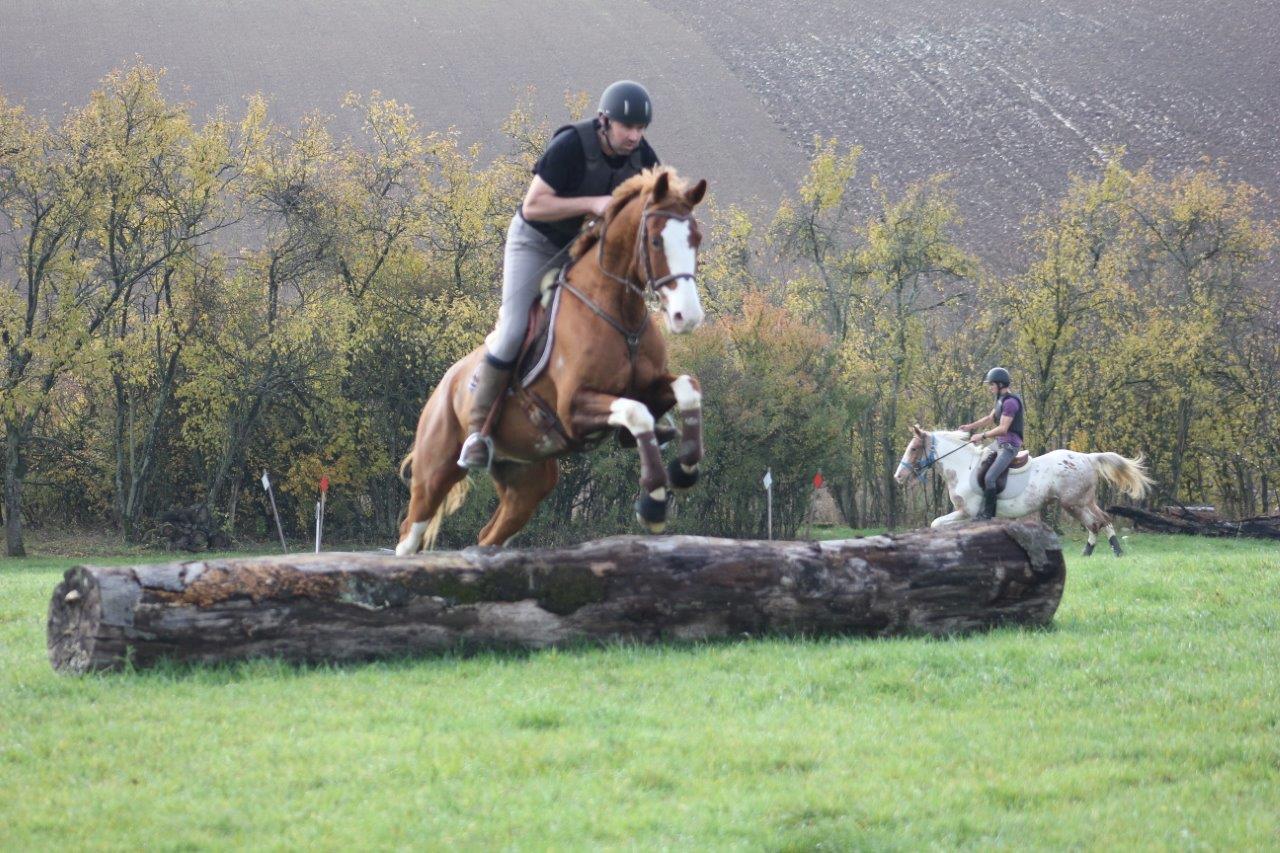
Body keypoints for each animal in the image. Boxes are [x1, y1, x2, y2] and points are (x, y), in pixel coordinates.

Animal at [396, 168, 709, 553]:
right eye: (654, 241)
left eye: (696, 239)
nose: (687, 316)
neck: (618, 313)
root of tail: (446, 383)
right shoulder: (574, 409)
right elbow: (636, 413)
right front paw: (653, 502)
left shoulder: (649, 388)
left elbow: (687, 388)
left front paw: (684, 469)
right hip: (435, 468)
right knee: (410, 533)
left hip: (528, 480)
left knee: (490, 535)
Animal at [894, 426, 1154, 556]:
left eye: (914, 448)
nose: (898, 476)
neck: (962, 466)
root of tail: (1088, 458)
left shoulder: (966, 513)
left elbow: (936, 524)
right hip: (1083, 501)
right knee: (1100, 521)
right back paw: (1093, 553)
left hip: (1074, 503)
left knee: (1098, 522)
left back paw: (1112, 552)